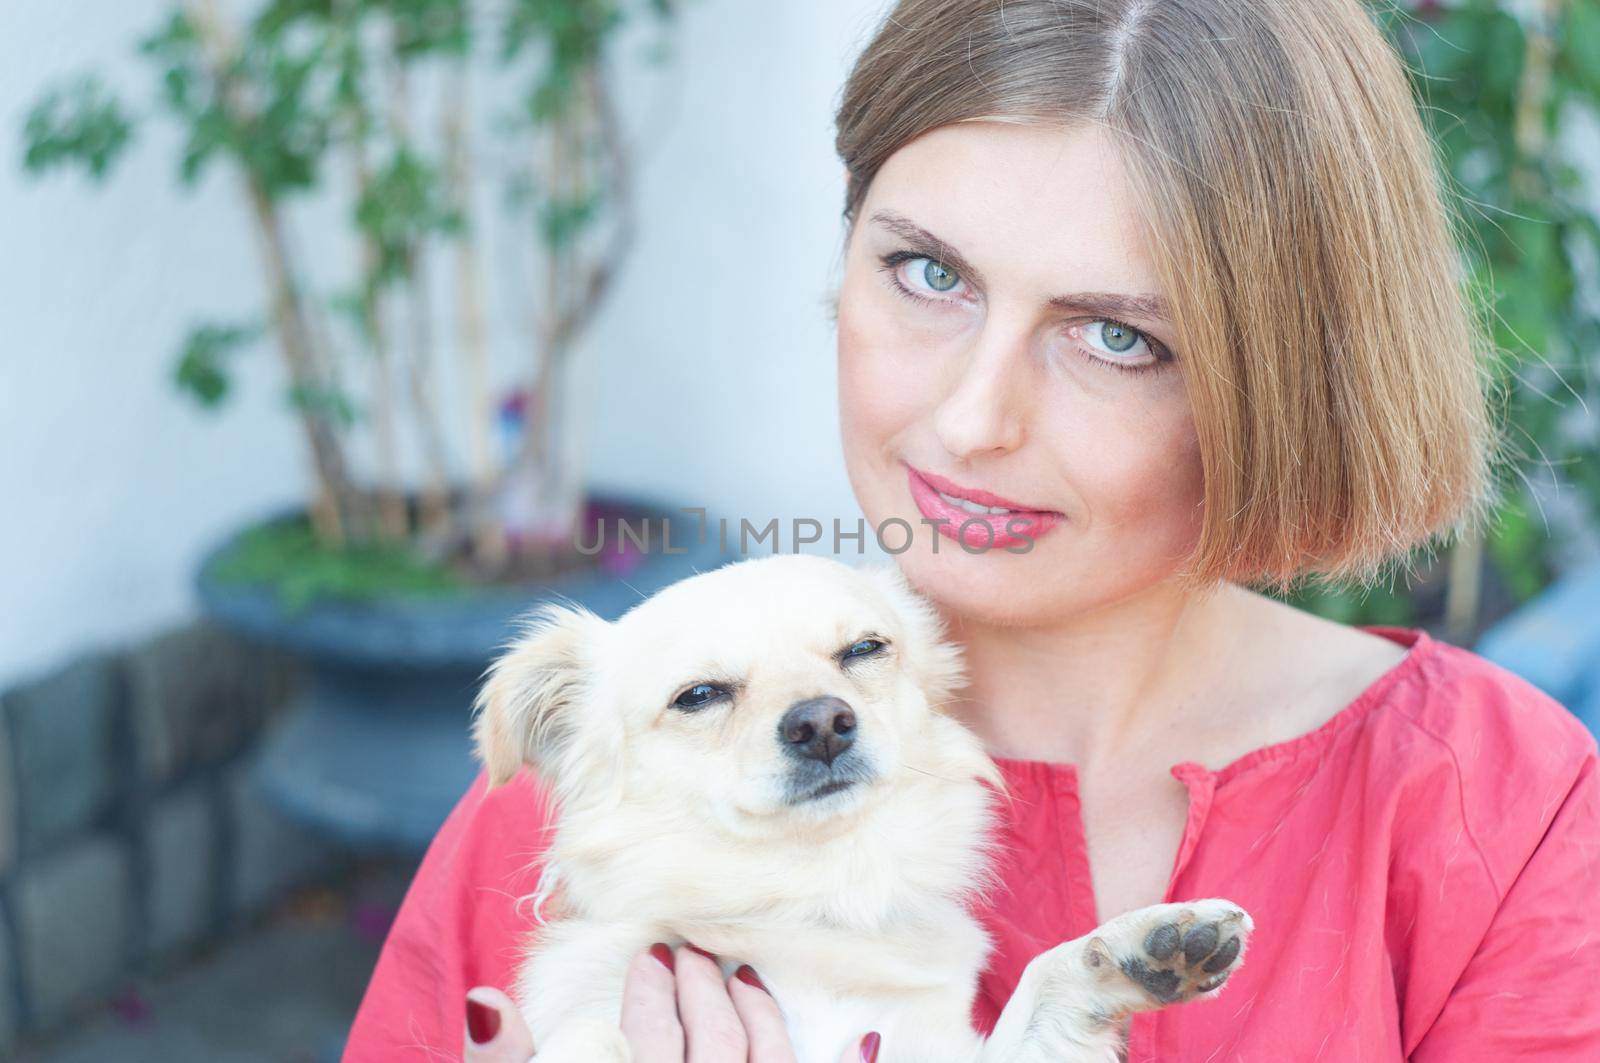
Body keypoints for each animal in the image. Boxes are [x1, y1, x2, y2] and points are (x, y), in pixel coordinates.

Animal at [473, 550, 1248, 1056]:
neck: (817, 901)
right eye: (699, 695)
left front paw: (1135, 947)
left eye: (864, 649)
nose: (822, 721)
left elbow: (1044, 980)